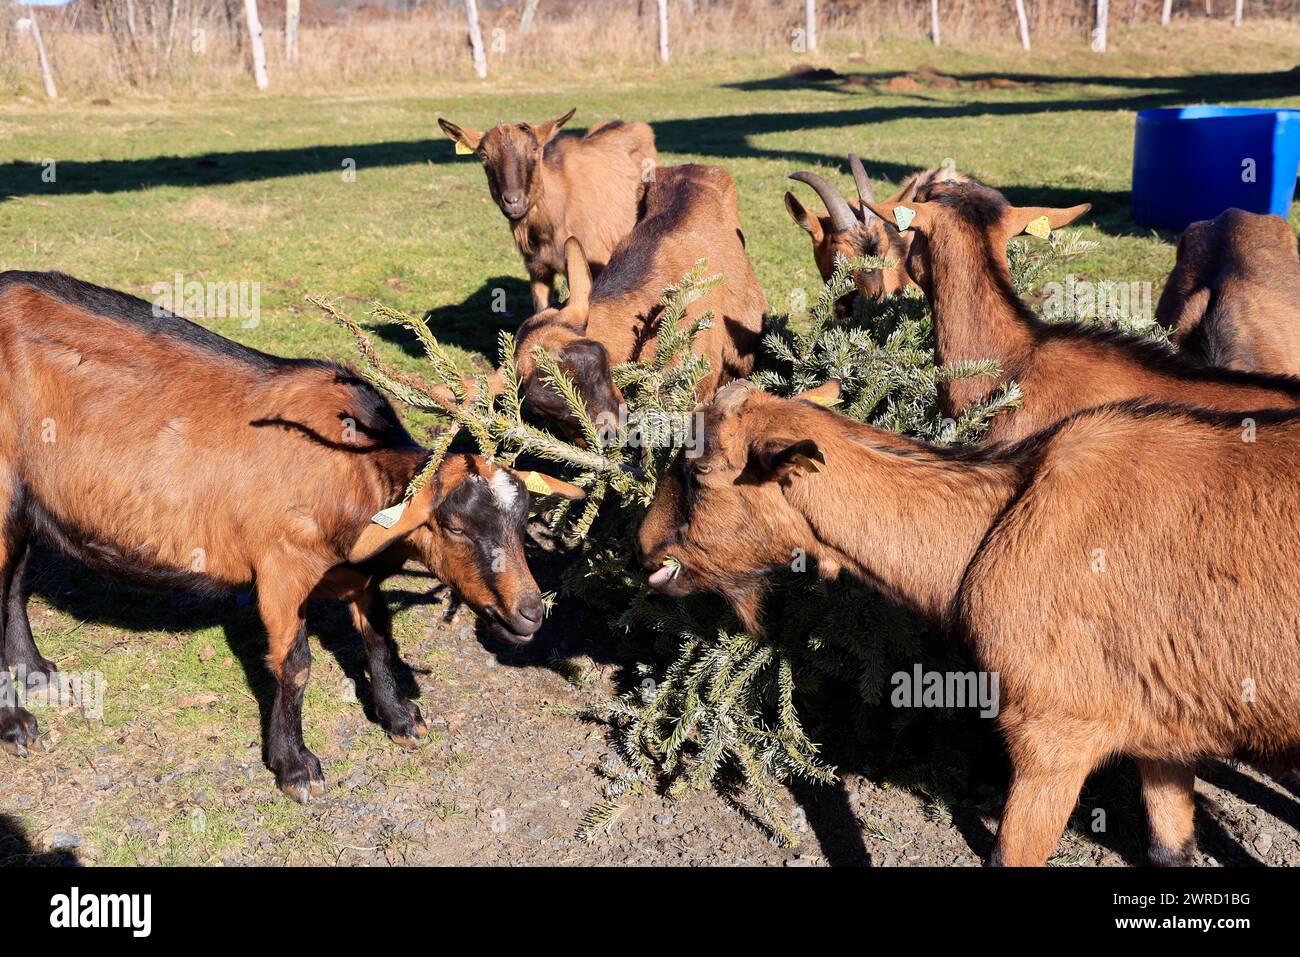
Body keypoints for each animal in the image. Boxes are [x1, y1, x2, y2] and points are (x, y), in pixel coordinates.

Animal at [0, 271, 581, 800]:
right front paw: (296, 768)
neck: (347, 465)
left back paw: (34, 672)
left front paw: (401, 718)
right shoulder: (279, 567)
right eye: (455, 525)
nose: (531, 612)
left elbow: (377, 636)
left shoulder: (354, 571)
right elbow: (294, 665)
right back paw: (17, 724)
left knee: (15, 583)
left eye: (522, 520)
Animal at [638, 379, 1300, 866]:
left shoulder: (1054, 734)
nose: (643, 547)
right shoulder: (1164, 735)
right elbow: (1171, 850)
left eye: (699, 474)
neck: (993, 524)